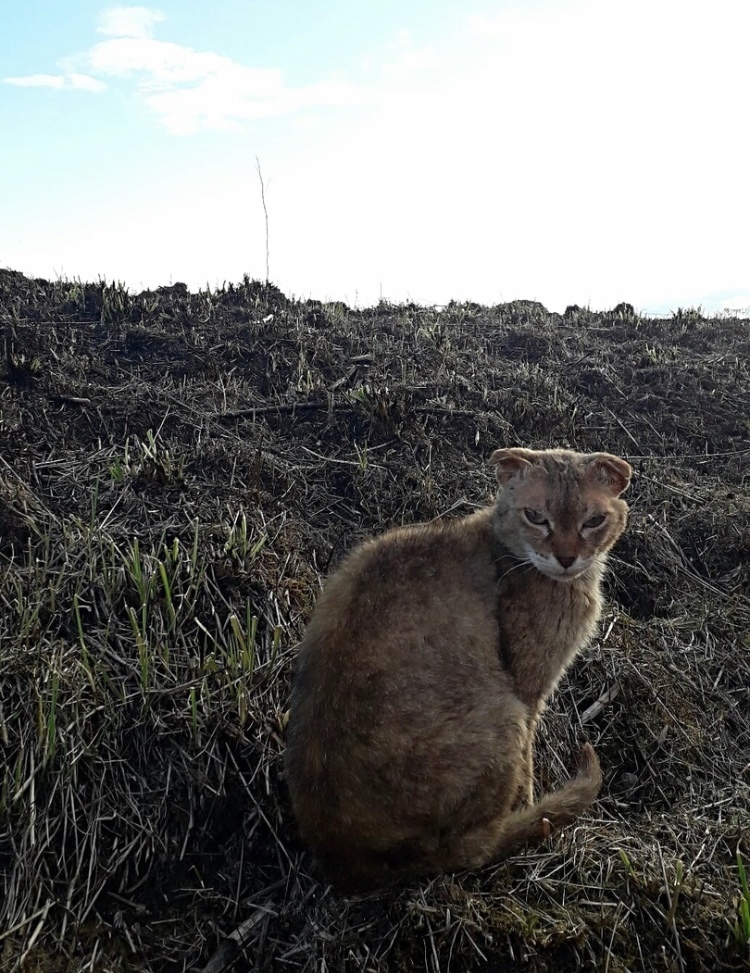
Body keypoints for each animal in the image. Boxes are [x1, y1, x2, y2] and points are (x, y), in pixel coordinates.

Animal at [284, 448, 632, 888]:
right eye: (536, 516)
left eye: (593, 520)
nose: (566, 557)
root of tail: (344, 856)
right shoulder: (529, 690)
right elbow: (528, 765)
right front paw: (530, 804)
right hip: (504, 716)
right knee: (478, 847)